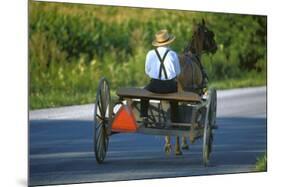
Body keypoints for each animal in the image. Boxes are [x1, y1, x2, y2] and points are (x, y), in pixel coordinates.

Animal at [164, 19, 217, 155]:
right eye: (210, 34)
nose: (215, 47)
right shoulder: (195, 93)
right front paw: (184, 143)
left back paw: (168, 144)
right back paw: (178, 148)